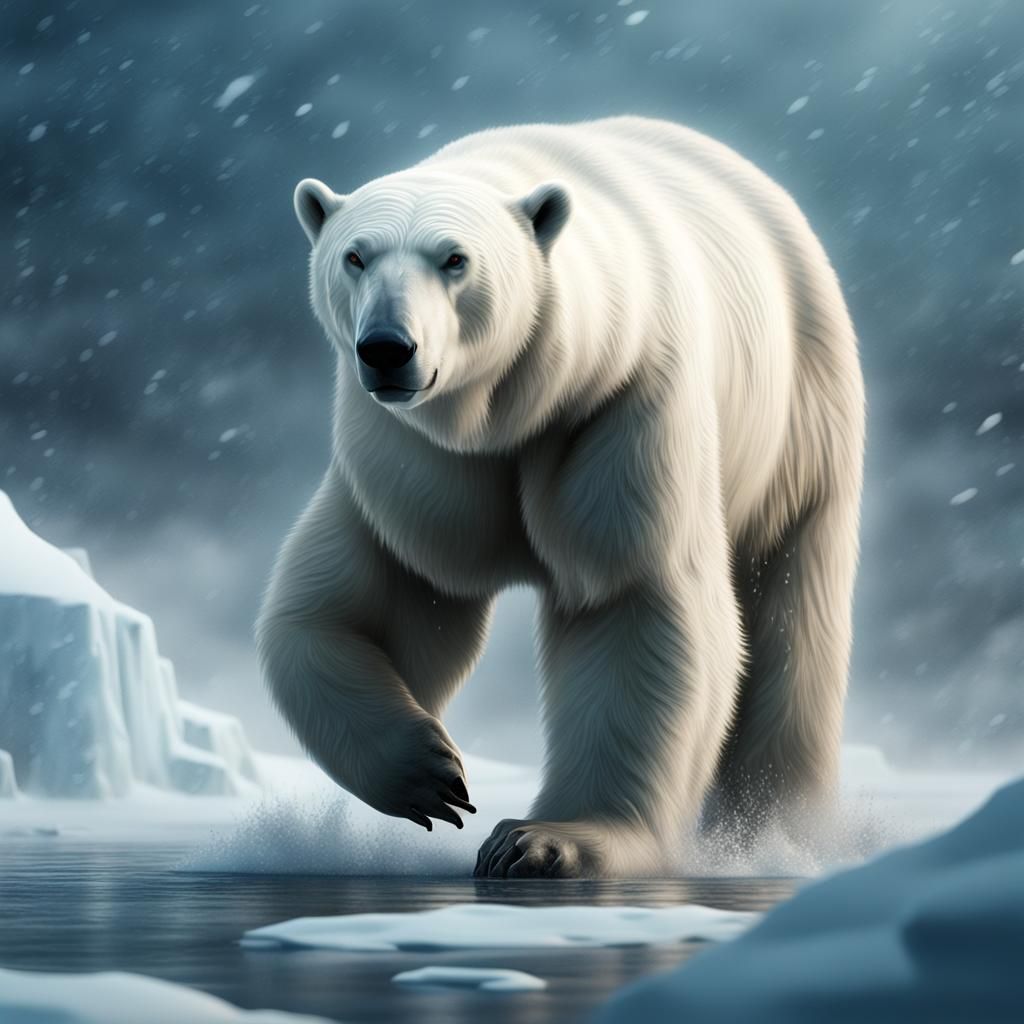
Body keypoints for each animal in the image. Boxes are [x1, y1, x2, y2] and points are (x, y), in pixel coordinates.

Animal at [256, 116, 865, 878]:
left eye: (455, 259)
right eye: (355, 256)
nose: (388, 348)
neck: (514, 411)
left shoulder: (619, 402)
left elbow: (629, 597)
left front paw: (543, 840)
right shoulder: (411, 454)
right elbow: (386, 594)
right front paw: (429, 776)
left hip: (800, 426)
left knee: (791, 610)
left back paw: (775, 834)